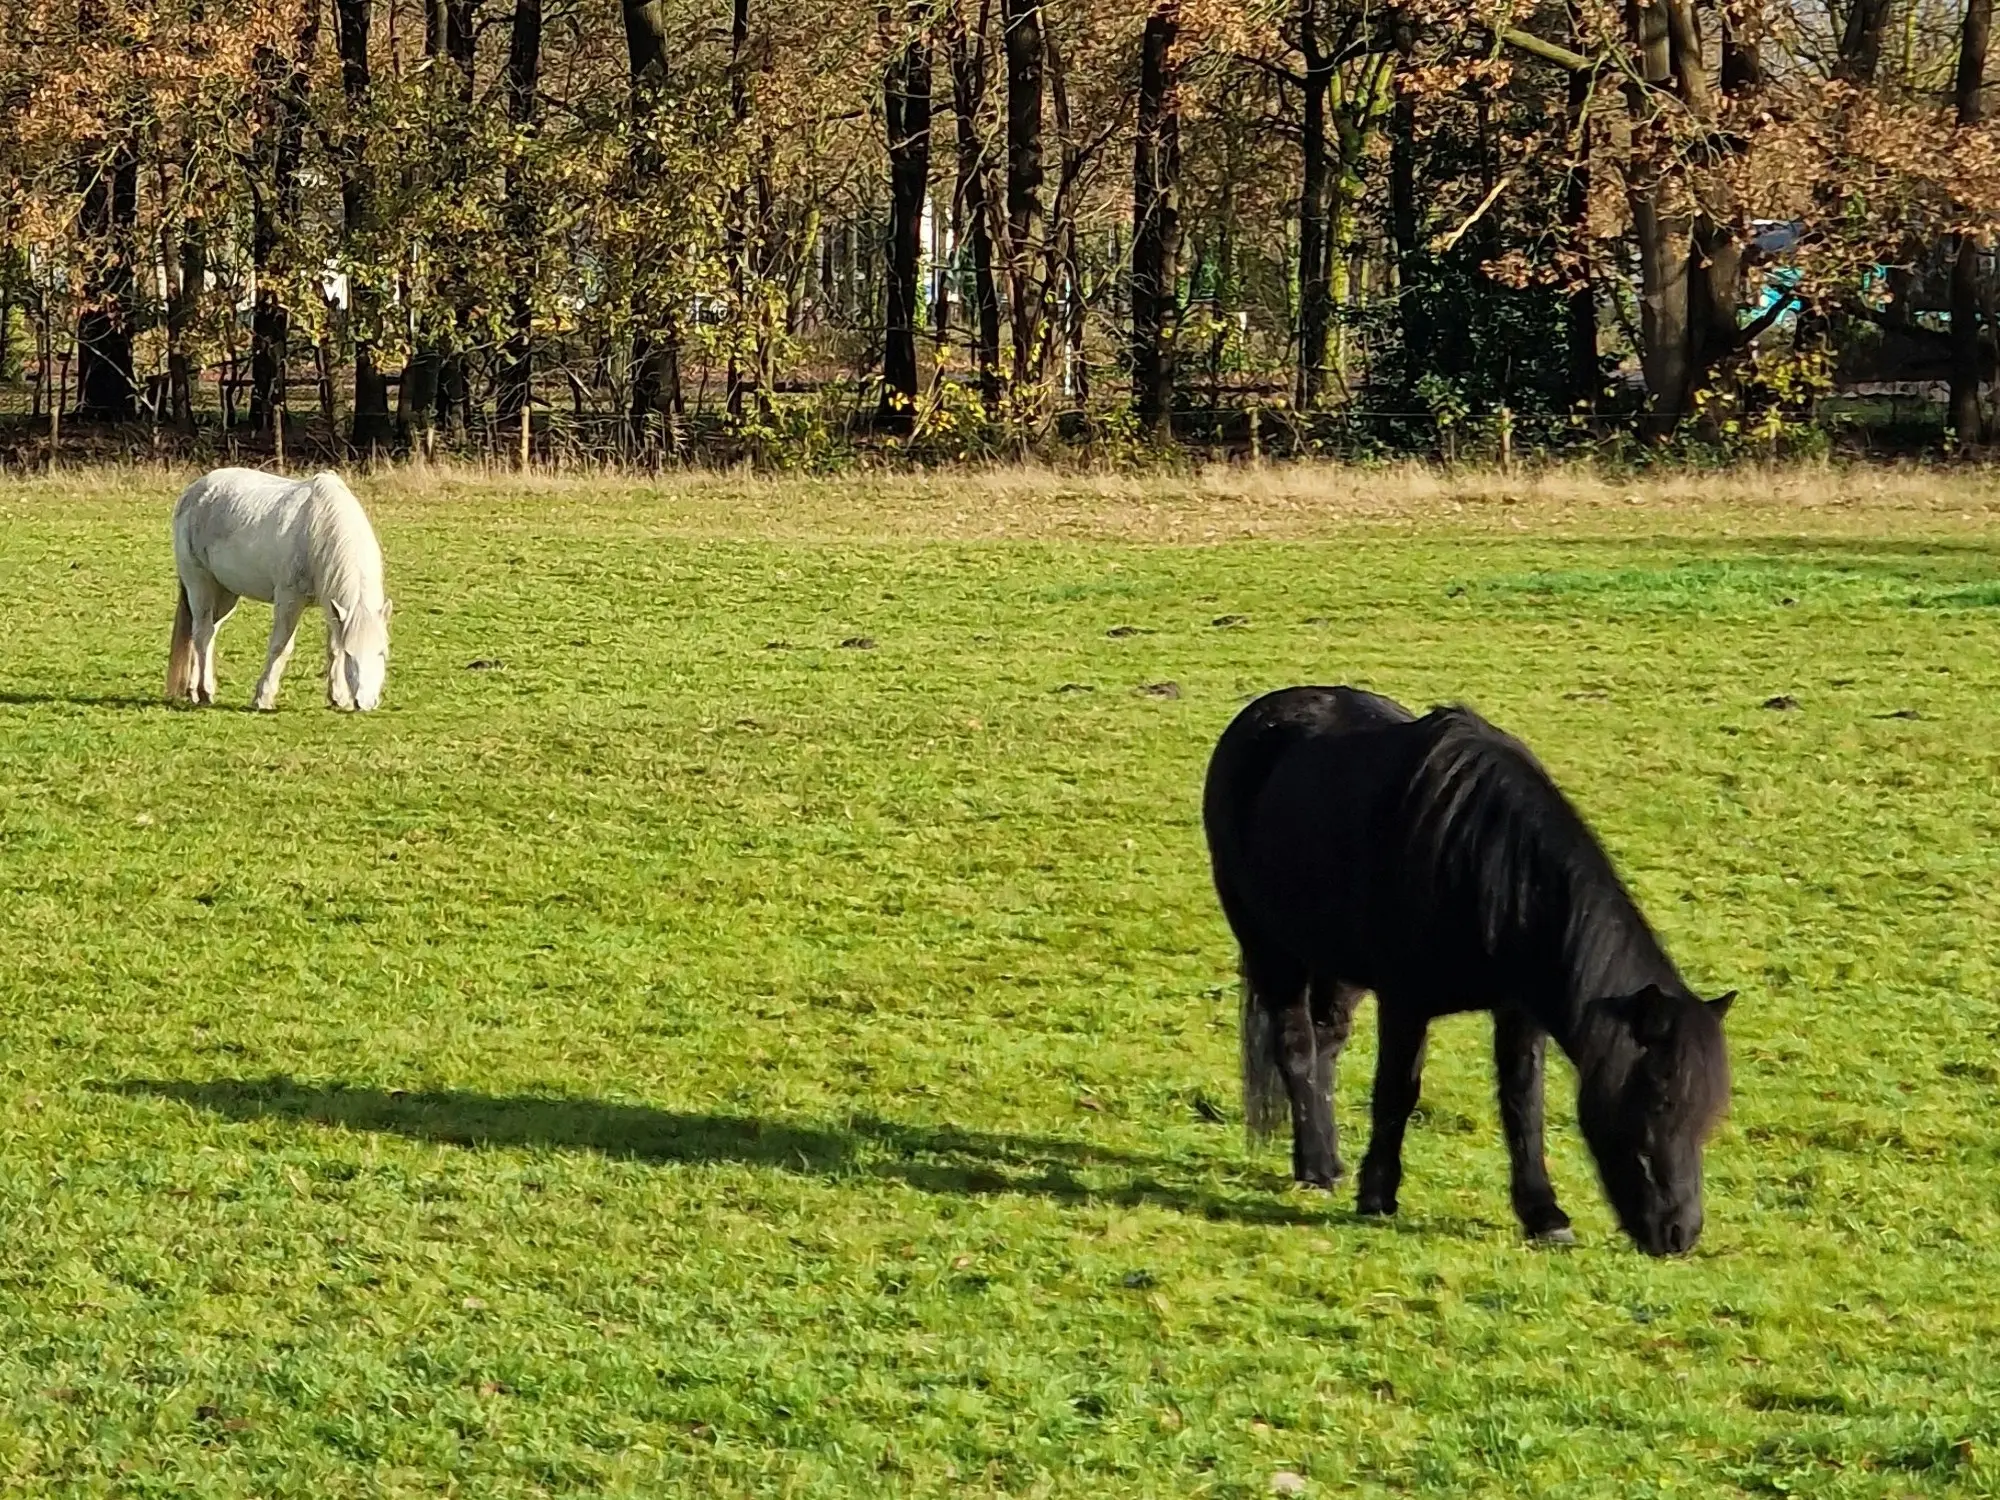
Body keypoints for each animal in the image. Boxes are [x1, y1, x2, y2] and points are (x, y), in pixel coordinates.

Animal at [170, 468, 396, 712]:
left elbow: (333, 647)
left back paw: (193, 690)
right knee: (202, 633)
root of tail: (193, 491)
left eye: (382, 652)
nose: (366, 703)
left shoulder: (332, 606)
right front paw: (263, 698)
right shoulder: (289, 600)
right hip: (199, 583)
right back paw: (205, 692)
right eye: (350, 654)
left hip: (225, 593)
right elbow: (281, 647)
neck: (317, 528)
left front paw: (338, 698)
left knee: (207, 633)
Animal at [1200, 692, 1736, 1256]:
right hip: (1269, 949)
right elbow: (1397, 1092)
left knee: (1325, 1045)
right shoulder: (1405, 1002)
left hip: (1335, 964)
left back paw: (1323, 1160)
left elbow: (1523, 1102)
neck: (1484, 866)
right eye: (1660, 1101)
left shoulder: (1518, 1011)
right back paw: (1320, 1171)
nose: (1680, 1233)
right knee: (1297, 1049)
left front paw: (1544, 1215)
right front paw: (1378, 1195)